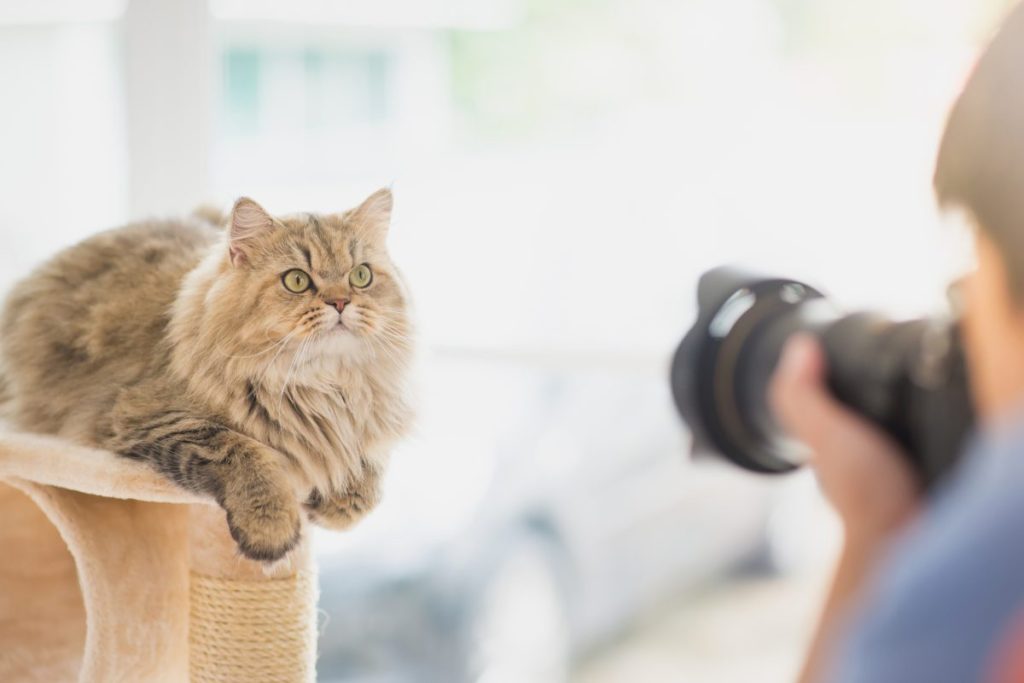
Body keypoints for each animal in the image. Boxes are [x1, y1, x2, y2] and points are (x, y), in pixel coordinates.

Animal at [2, 189, 415, 565]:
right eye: (297, 280)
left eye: (361, 276)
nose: (341, 302)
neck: (322, 386)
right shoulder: (153, 416)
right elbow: (247, 453)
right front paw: (271, 528)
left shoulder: (371, 418)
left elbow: (366, 466)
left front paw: (341, 505)